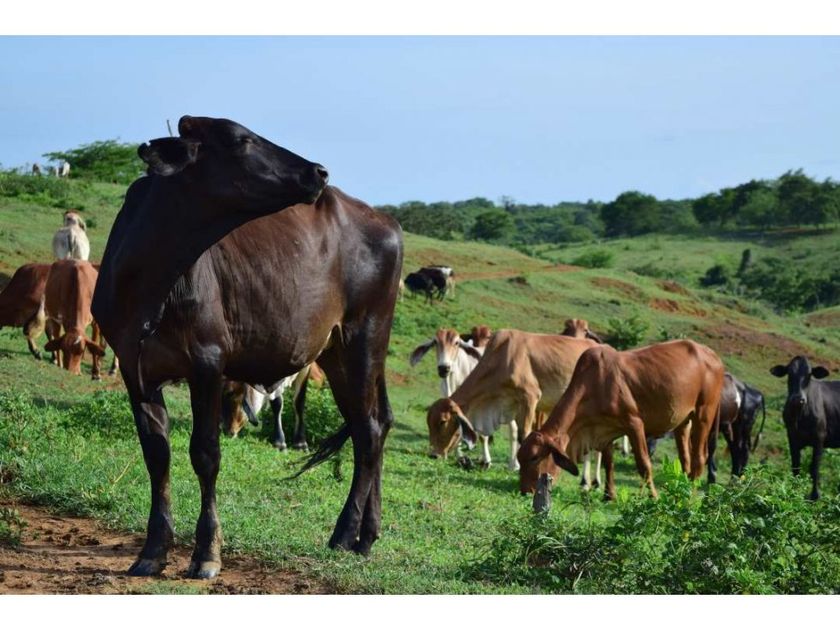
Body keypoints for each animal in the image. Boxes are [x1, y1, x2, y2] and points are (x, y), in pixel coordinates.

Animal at [92, 115, 401, 579]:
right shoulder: (135, 369)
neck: (150, 278)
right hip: (338, 353)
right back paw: (367, 535)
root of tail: (386, 221)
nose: (318, 172)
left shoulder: (208, 362)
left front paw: (206, 553)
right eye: (241, 140)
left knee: (367, 431)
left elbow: (205, 453)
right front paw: (153, 549)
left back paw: (346, 533)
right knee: (378, 423)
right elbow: (156, 455)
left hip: (364, 340)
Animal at [426, 329, 599, 472]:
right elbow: (511, 434)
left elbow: (524, 435)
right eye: (428, 422)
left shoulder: (531, 397)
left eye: (442, 421)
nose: (433, 454)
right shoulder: (511, 406)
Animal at [518, 339, 725, 511]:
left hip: (704, 414)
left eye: (534, 457)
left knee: (699, 458)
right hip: (683, 422)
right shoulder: (604, 431)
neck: (594, 384)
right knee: (685, 459)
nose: (525, 491)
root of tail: (713, 355)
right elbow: (608, 463)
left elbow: (644, 464)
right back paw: (680, 492)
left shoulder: (634, 424)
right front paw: (609, 495)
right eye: (520, 458)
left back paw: (690, 495)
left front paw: (653, 497)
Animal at [770, 357, 840, 500]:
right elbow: (796, 466)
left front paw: (814, 496)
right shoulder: (792, 437)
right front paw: (794, 491)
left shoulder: (819, 438)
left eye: (809, 375)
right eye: (790, 373)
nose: (798, 398)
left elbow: (814, 468)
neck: (800, 416)